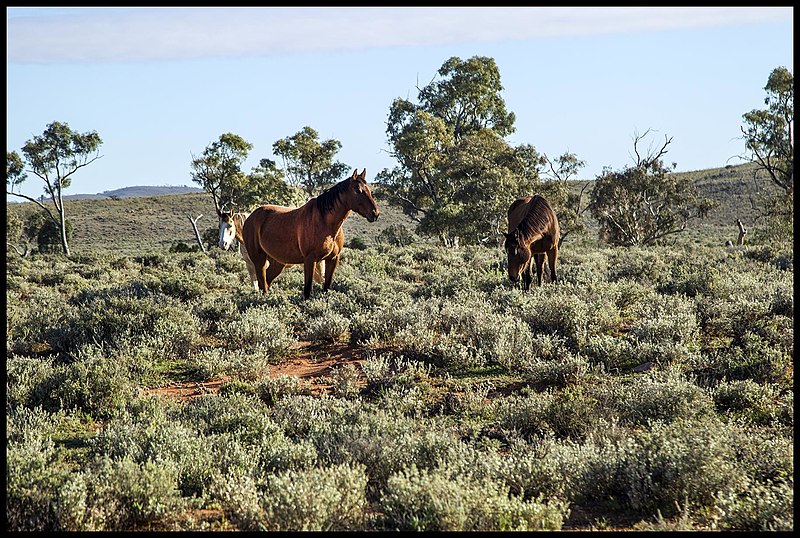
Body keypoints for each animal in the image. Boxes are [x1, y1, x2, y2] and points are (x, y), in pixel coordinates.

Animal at [242, 169, 380, 298]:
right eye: (357, 190)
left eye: (369, 190)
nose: (375, 213)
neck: (325, 222)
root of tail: (250, 217)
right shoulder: (310, 259)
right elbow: (307, 290)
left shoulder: (333, 259)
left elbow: (326, 287)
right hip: (259, 259)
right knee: (262, 282)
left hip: (278, 262)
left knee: (266, 282)